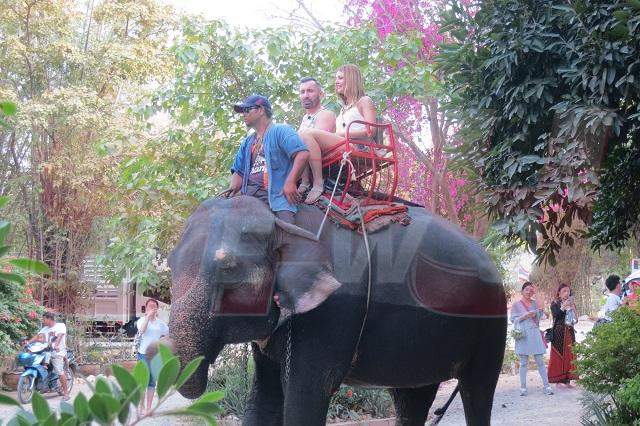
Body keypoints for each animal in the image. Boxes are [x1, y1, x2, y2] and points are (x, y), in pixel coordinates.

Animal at [166, 195, 510, 424]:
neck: (281, 220)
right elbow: (264, 396)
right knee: (411, 396)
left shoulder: (333, 313)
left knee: (477, 390)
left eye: (228, 268)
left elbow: (306, 395)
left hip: (492, 323)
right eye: (169, 264)